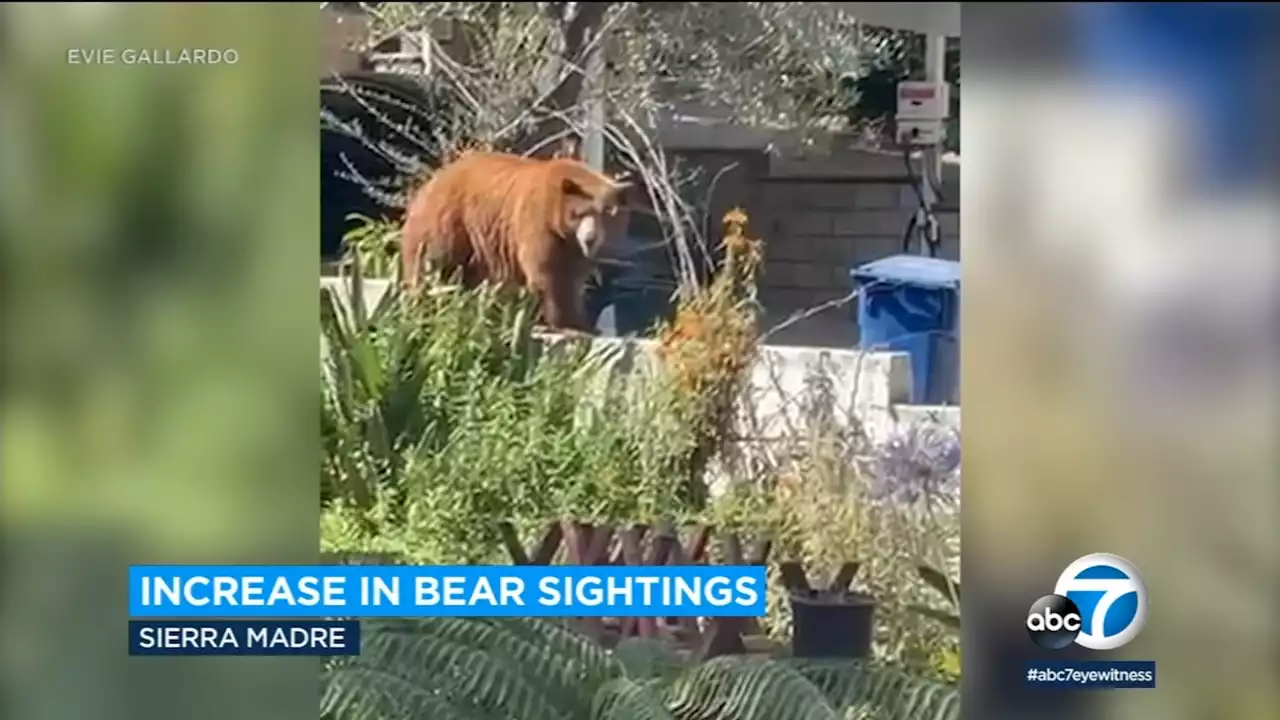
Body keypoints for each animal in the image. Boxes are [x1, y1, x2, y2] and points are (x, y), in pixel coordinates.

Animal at [396, 150, 632, 333]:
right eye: (579, 213)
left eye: (607, 213)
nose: (590, 238)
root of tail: (430, 182)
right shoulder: (538, 224)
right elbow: (548, 274)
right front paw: (568, 324)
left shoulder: (573, 247)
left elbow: (573, 278)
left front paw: (584, 323)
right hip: (448, 224)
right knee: (431, 266)